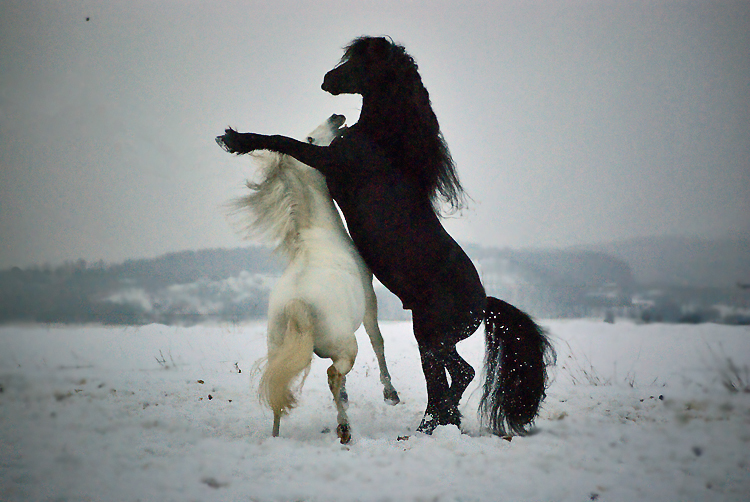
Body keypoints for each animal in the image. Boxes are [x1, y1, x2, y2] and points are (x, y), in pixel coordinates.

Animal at [234, 114, 400, 444]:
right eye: (310, 139)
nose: (337, 118)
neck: (320, 232)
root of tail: (297, 304)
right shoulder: (369, 300)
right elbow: (378, 341)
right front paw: (391, 395)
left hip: (278, 351)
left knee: (278, 393)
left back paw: (277, 437)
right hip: (346, 346)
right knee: (333, 375)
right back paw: (344, 430)